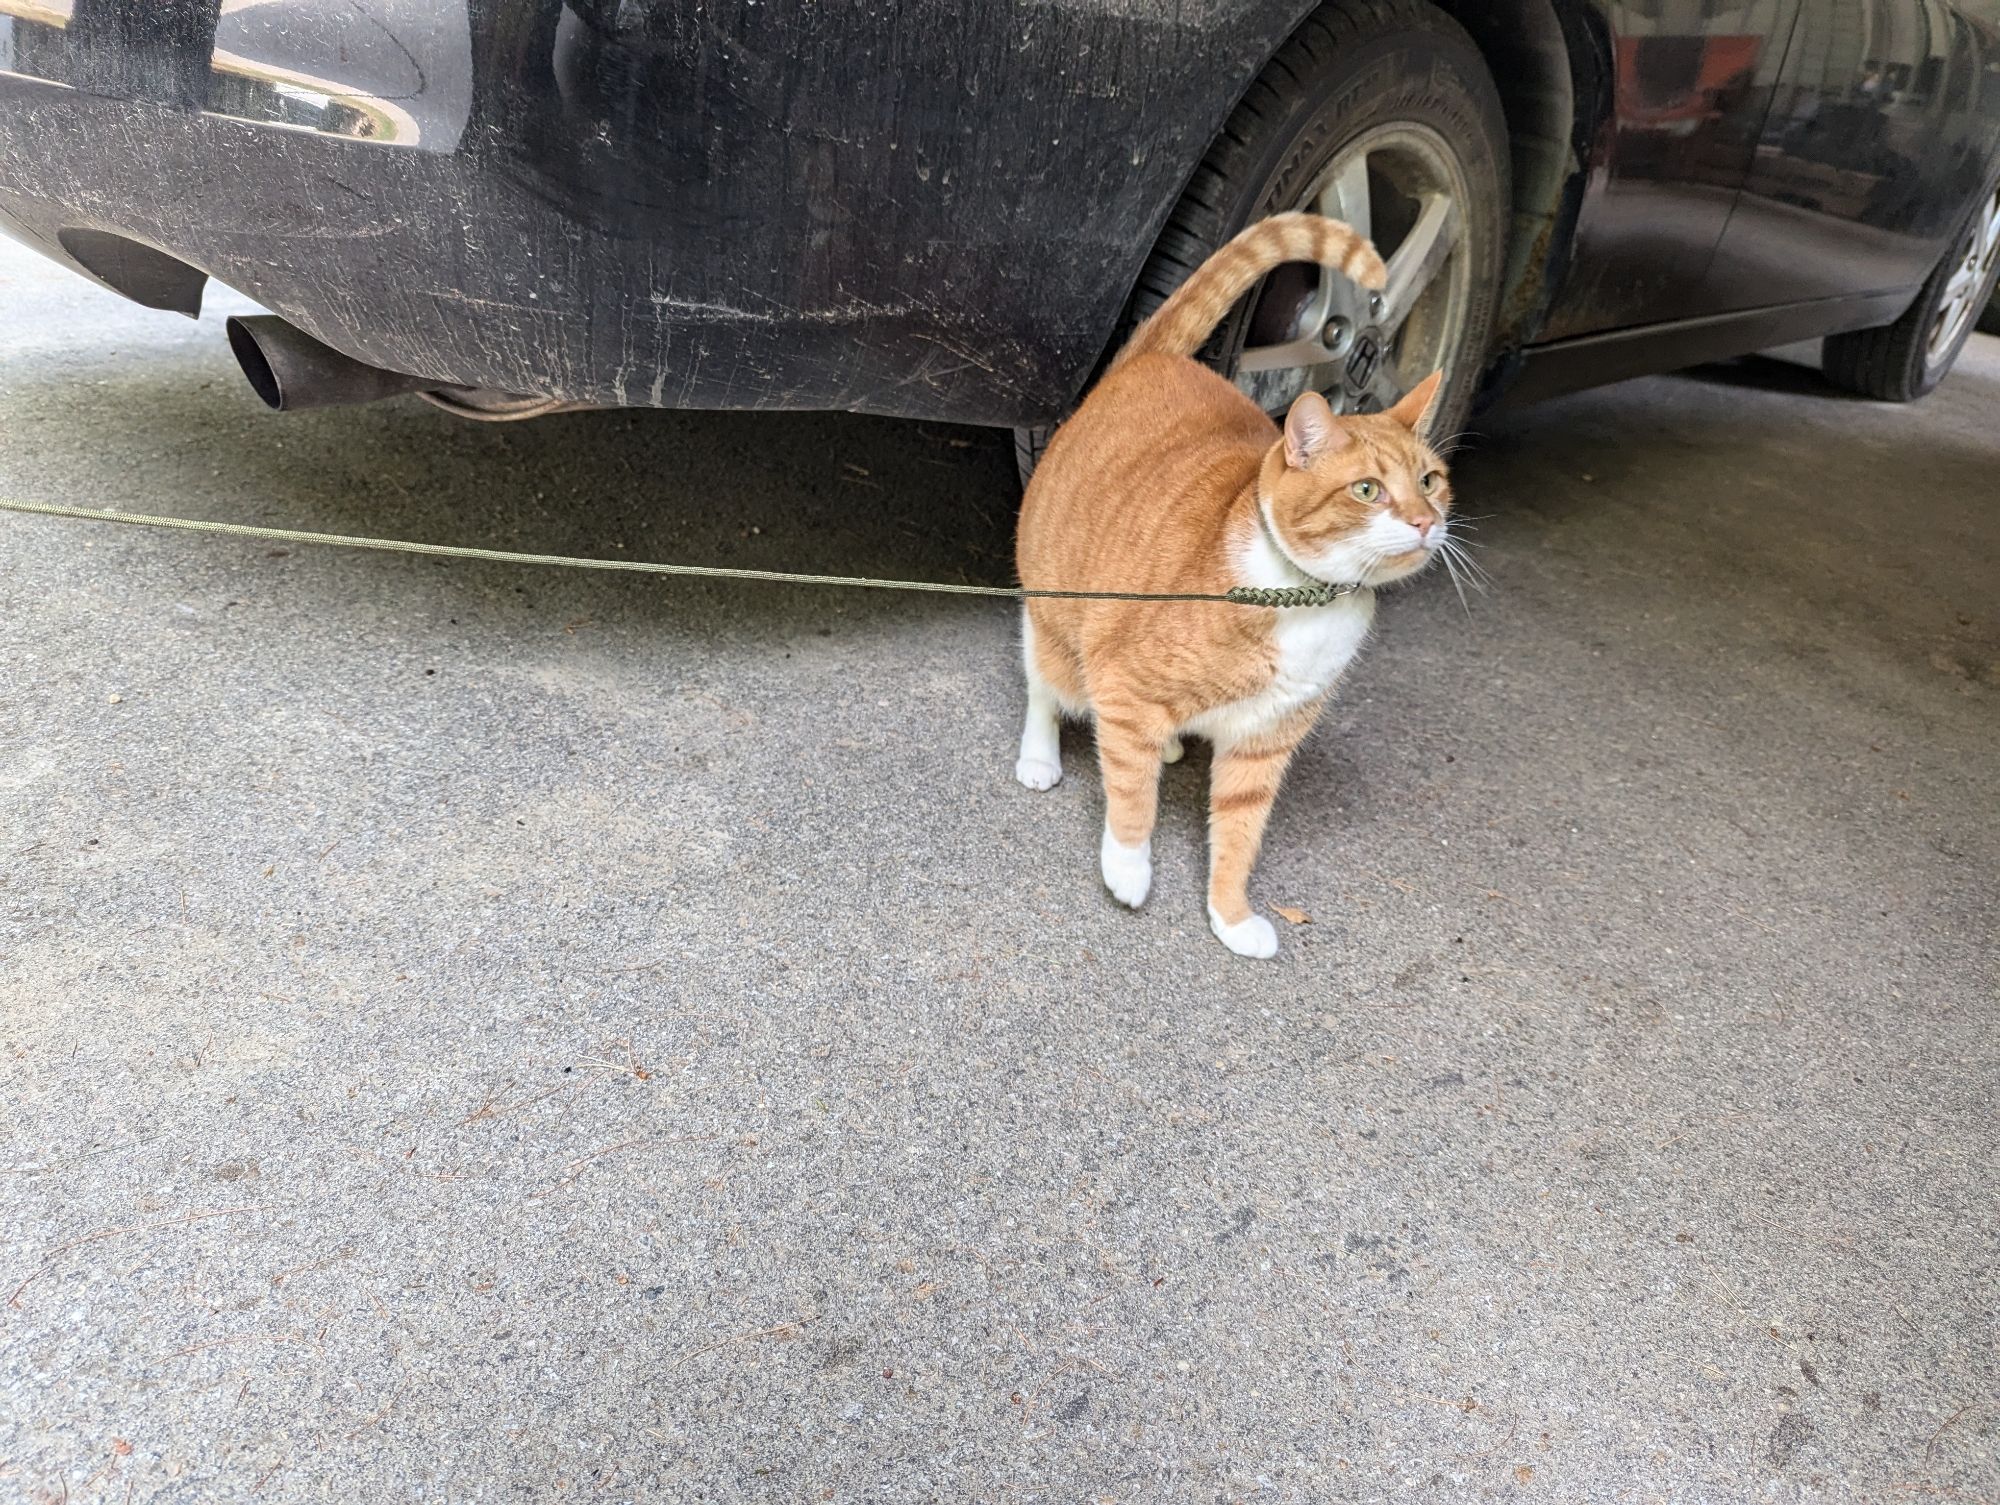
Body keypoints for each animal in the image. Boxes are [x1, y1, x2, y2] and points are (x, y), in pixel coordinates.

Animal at [1016, 212, 1456, 956]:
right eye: (1367, 490)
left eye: (1430, 480)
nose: (1426, 521)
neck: (1304, 595)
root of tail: (1149, 361)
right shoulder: (1125, 681)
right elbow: (1131, 798)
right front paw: (1127, 870)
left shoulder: (1264, 743)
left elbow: (1239, 835)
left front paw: (1230, 917)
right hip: (1055, 616)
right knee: (1048, 685)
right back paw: (1041, 756)